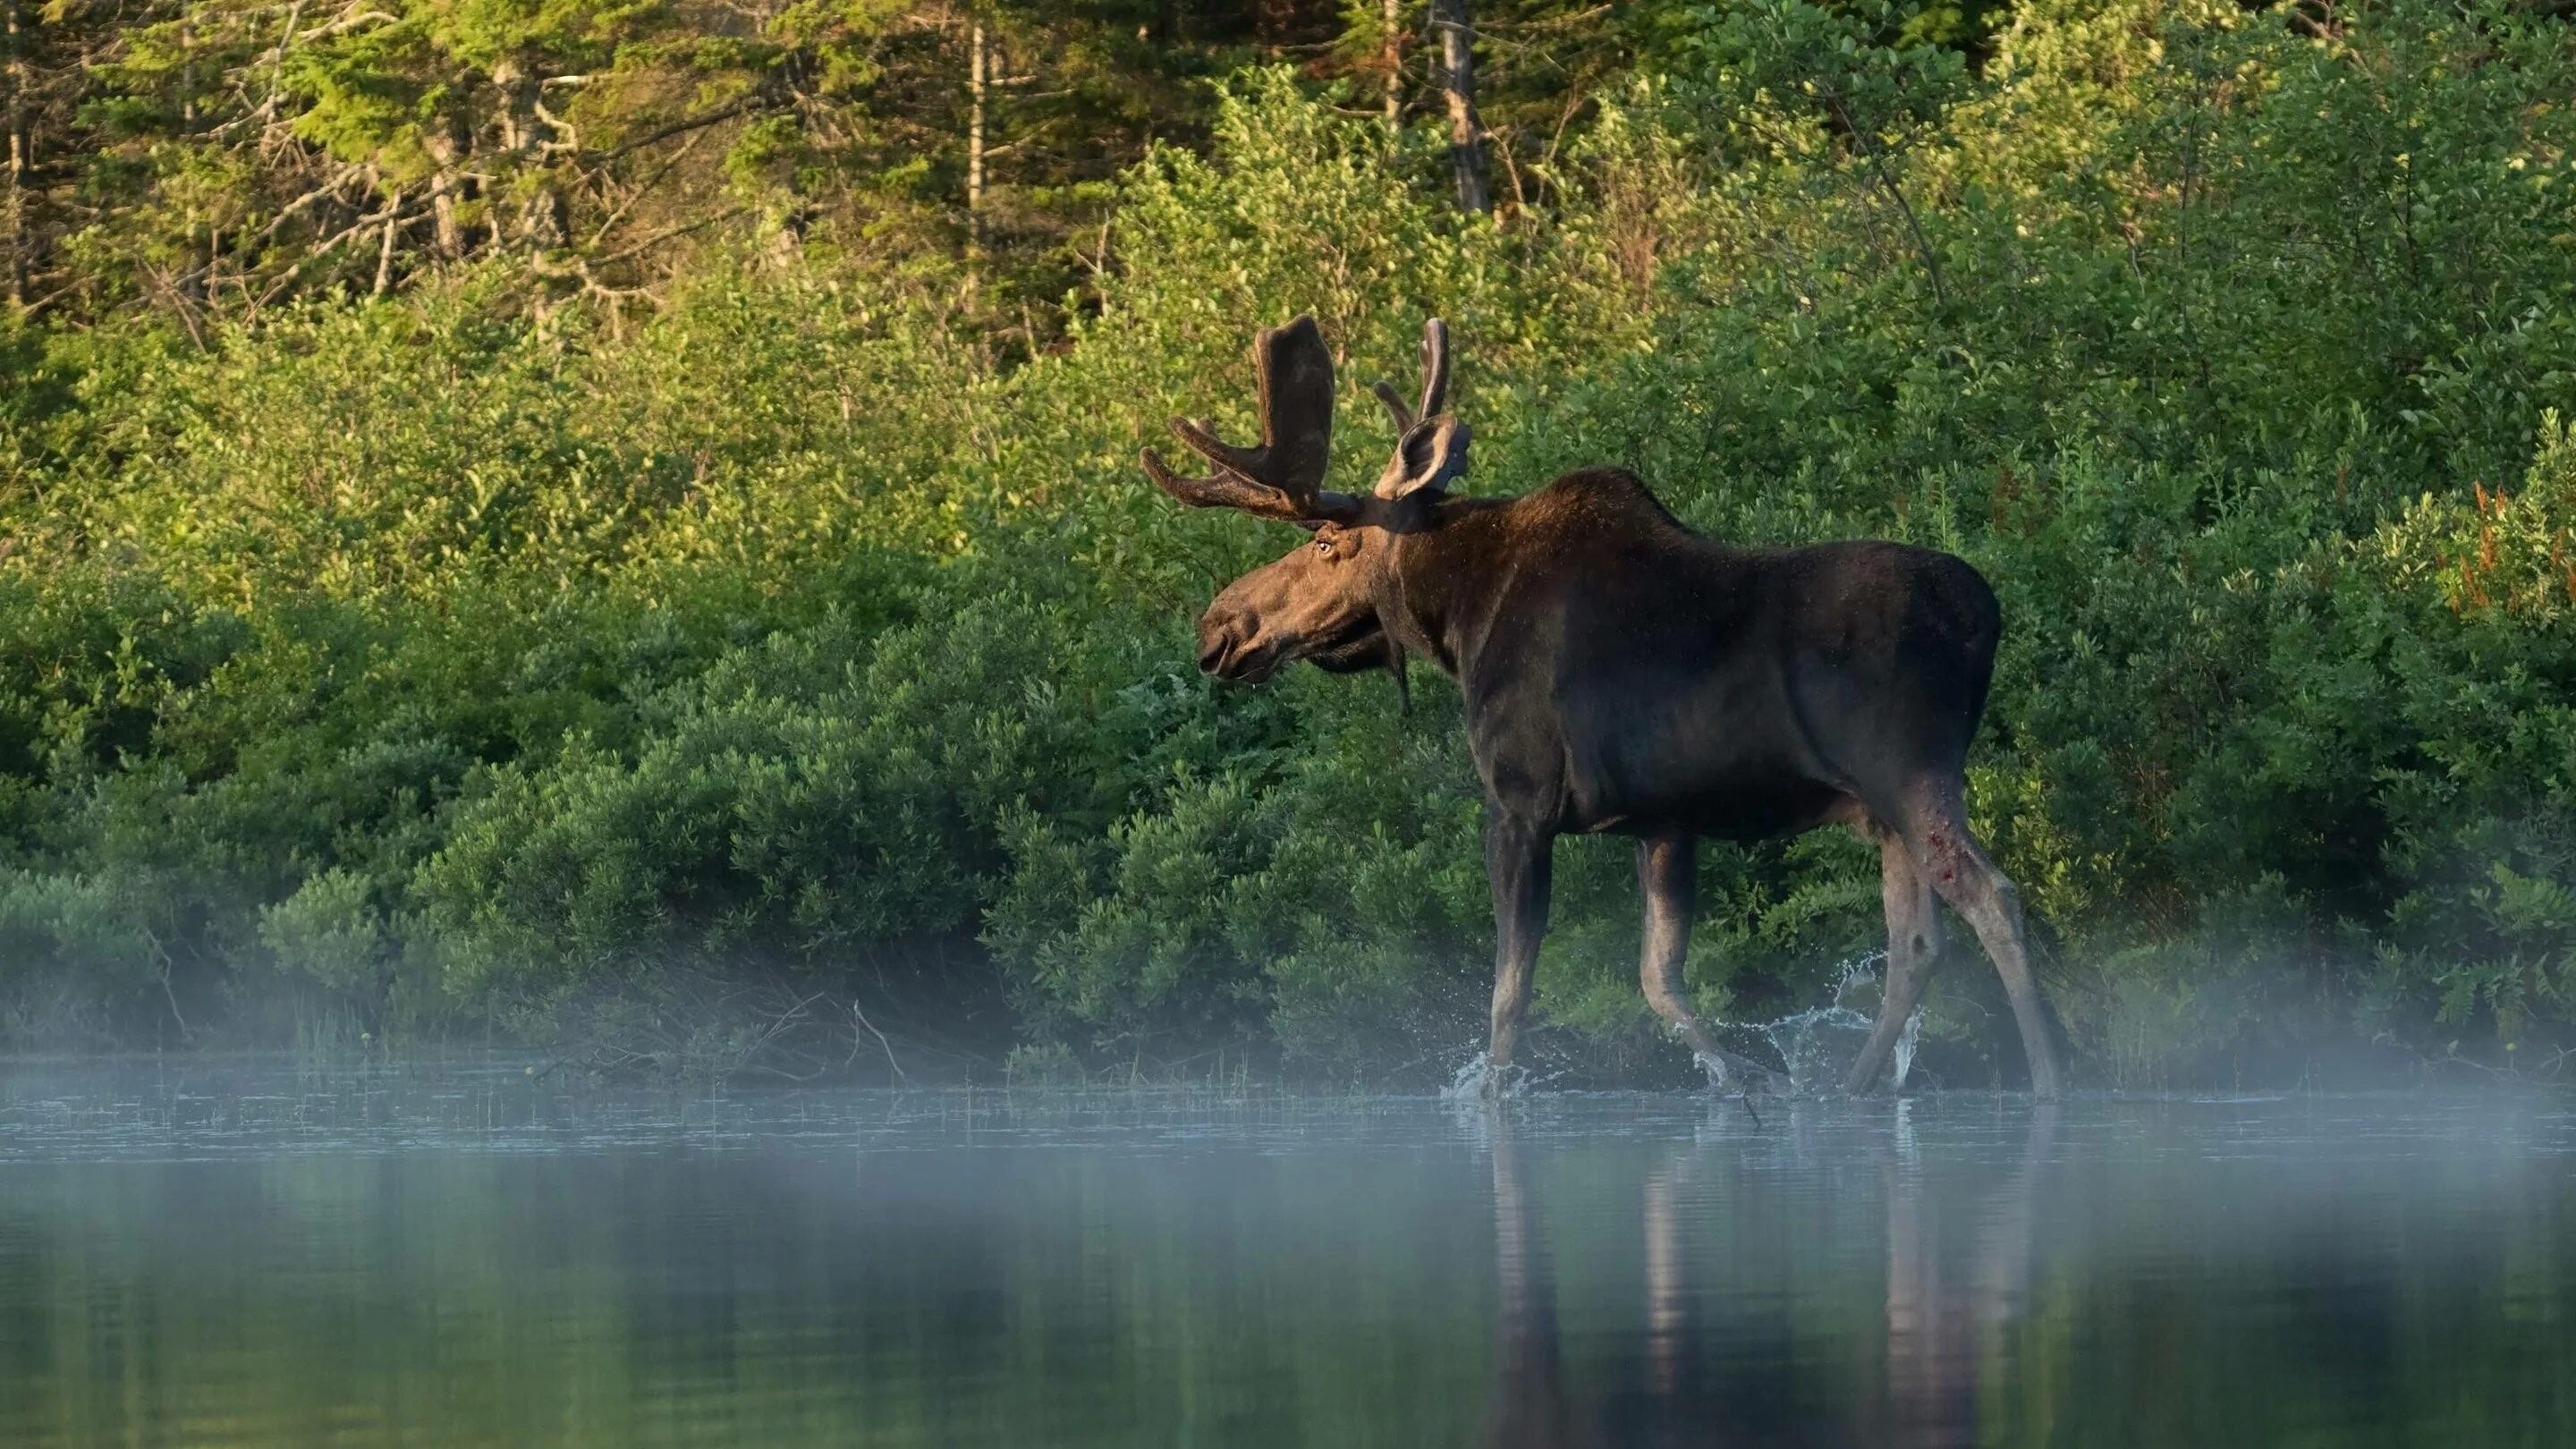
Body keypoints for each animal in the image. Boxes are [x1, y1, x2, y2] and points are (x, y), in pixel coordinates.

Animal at [1138, 310, 2061, 1088]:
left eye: (1329, 541)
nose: (1219, 627)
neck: (1459, 618)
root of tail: (1986, 617)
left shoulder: (1519, 801)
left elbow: (1509, 996)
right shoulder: (1665, 822)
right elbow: (1660, 981)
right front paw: (1742, 1088)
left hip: (1908, 769)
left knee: (1993, 898)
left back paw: (2050, 1082)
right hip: (1879, 808)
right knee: (1916, 943)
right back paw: (1854, 1091)